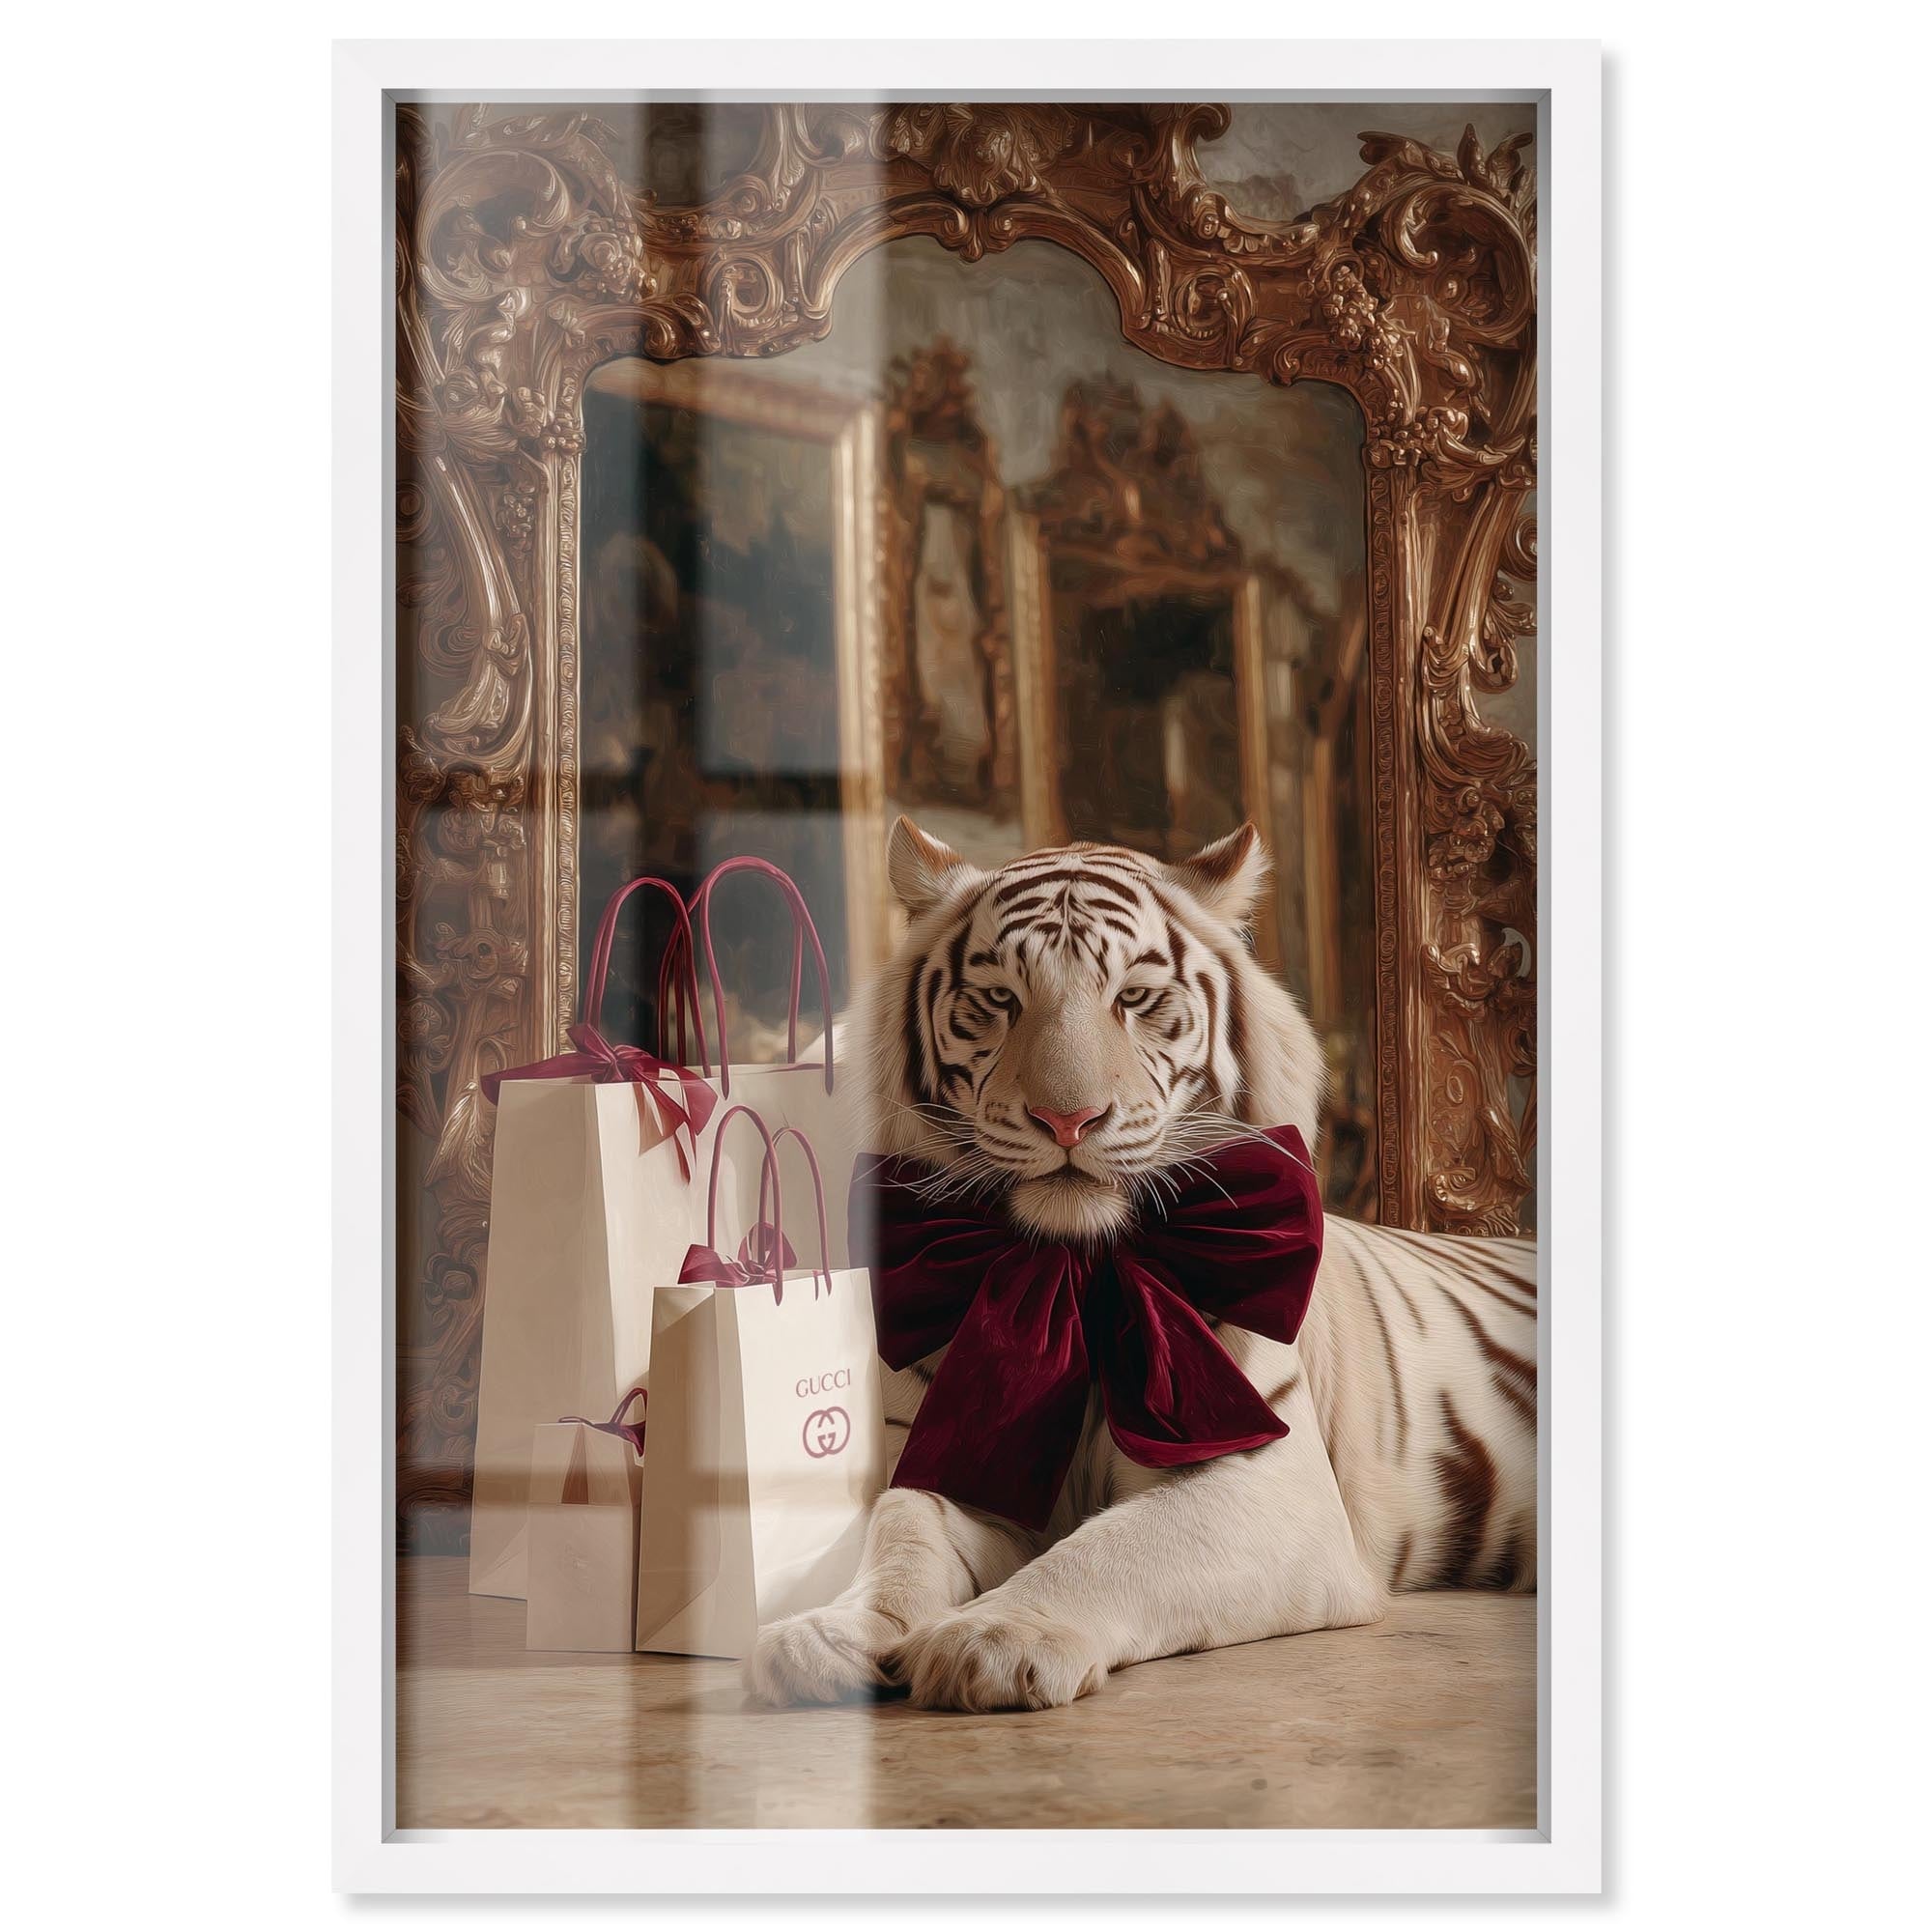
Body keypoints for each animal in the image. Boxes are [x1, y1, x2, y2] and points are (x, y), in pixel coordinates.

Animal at [747, 817, 1536, 1712]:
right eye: (1000, 1000)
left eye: (1134, 998)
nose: (1067, 1119)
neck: (1071, 1274)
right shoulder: (946, 1454)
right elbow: (901, 1534)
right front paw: (826, 1634)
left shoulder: (1266, 1487)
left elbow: (1110, 1551)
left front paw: (991, 1638)